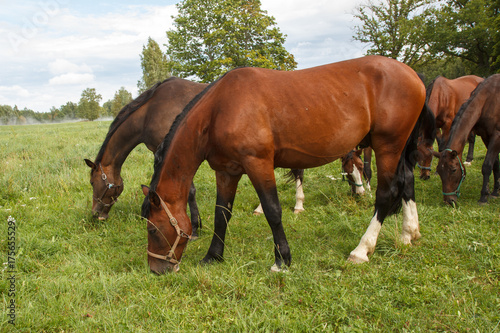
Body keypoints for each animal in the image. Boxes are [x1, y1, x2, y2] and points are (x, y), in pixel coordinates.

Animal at [436, 73, 500, 205]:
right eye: (439, 170)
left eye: (453, 170)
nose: (449, 201)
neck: (489, 99)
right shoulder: (487, 136)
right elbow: (495, 164)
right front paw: (495, 191)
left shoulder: (497, 136)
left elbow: (487, 165)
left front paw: (483, 197)